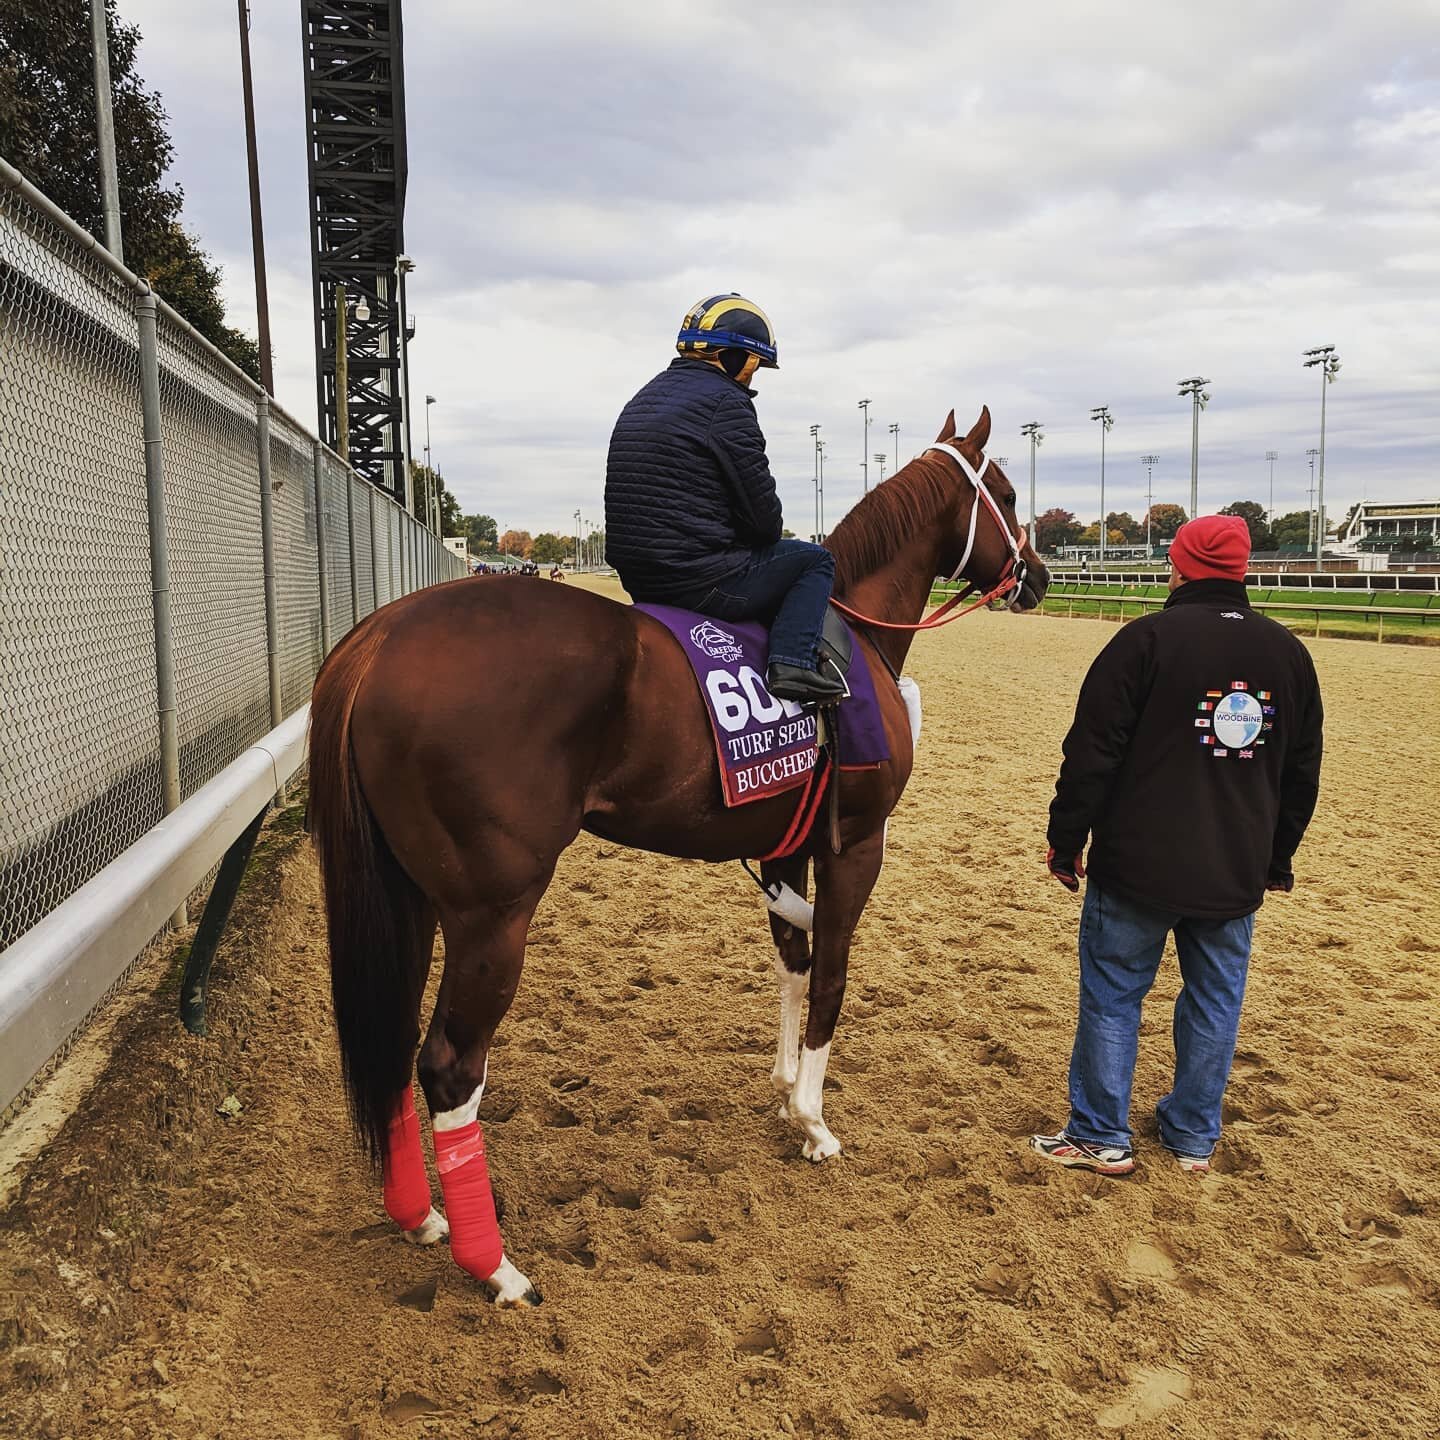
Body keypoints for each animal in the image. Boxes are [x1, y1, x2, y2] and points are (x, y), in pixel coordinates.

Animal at [309, 406, 1048, 1307]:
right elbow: (833, 972)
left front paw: (783, 1090)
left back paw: (420, 1217)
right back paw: (497, 1268)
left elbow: (794, 959)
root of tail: (378, 640)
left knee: (388, 1037)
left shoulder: (785, 846)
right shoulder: (857, 846)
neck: (856, 636)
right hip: (491, 913)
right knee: (449, 1066)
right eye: (1006, 493)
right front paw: (814, 1120)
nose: (1038, 576)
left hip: (406, 898)